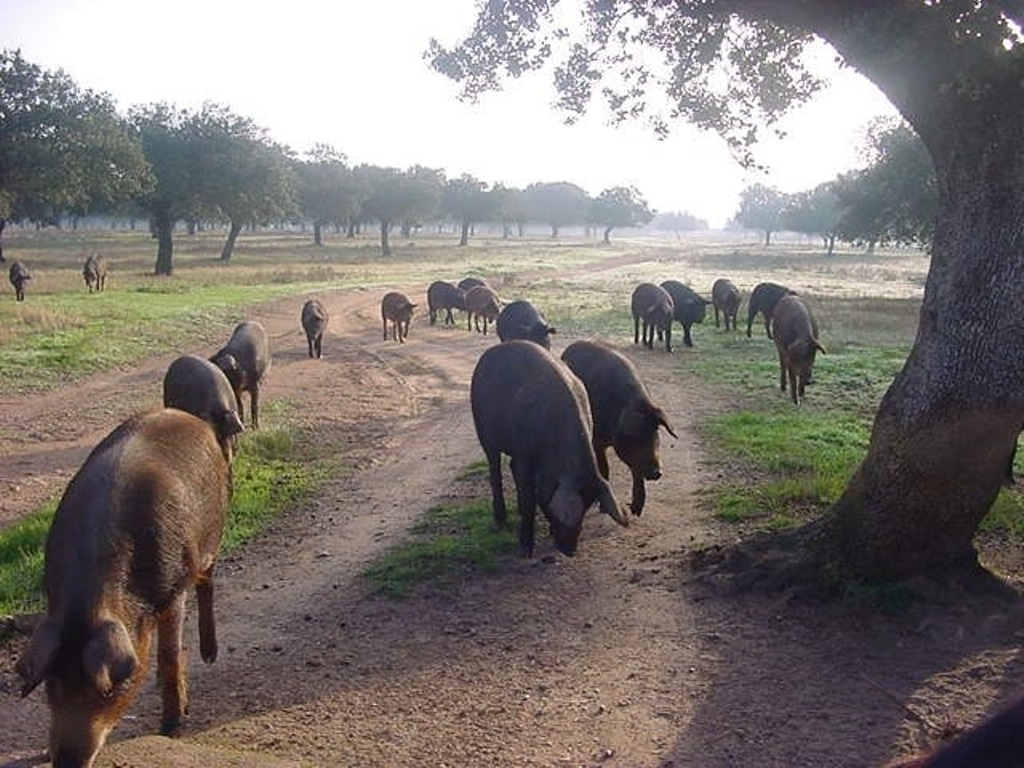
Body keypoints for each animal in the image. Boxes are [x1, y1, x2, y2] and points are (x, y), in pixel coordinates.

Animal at [16, 409, 232, 768]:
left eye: (106, 690)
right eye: (53, 682)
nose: (67, 760)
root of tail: (189, 417)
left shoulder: (172, 590)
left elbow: (170, 654)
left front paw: (172, 728)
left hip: (210, 538)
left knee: (207, 584)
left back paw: (210, 654)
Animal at [468, 342, 626, 561]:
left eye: (586, 509)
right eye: (560, 518)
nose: (570, 551)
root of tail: (488, 354)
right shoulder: (523, 453)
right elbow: (529, 498)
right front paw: (525, 550)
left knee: (509, 466)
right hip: (483, 430)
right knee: (495, 468)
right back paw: (500, 520)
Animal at [565, 342, 675, 518]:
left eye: (655, 432)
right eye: (635, 437)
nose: (656, 473)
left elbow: (635, 471)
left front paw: (636, 510)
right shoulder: (597, 440)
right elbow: (604, 467)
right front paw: (603, 508)